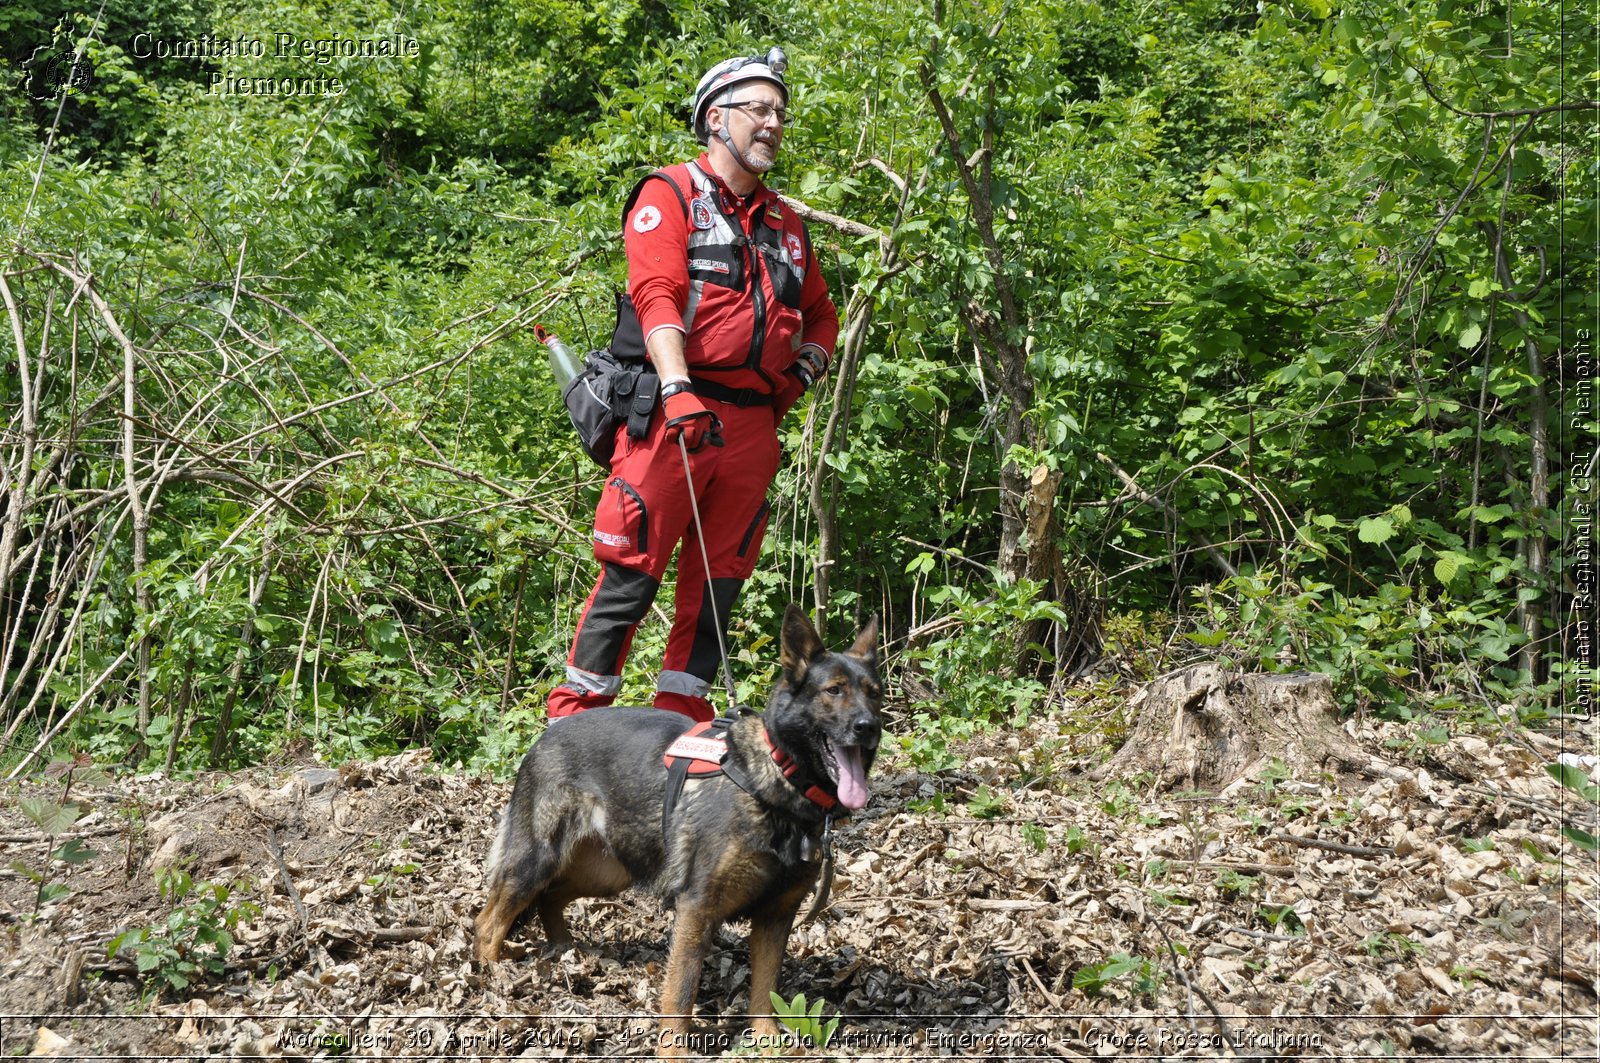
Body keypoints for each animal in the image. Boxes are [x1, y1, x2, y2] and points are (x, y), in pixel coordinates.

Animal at [473, 605, 883, 1056]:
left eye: (875, 694)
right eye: (834, 690)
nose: (868, 727)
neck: (776, 780)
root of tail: (545, 735)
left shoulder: (776, 916)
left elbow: (765, 989)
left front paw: (768, 1041)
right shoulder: (697, 907)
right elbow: (681, 991)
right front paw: (674, 1052)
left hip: (607, 873)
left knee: (550, 897)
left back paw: (564, 949)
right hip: (537, 860)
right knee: (488, 922)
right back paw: (494, 977)